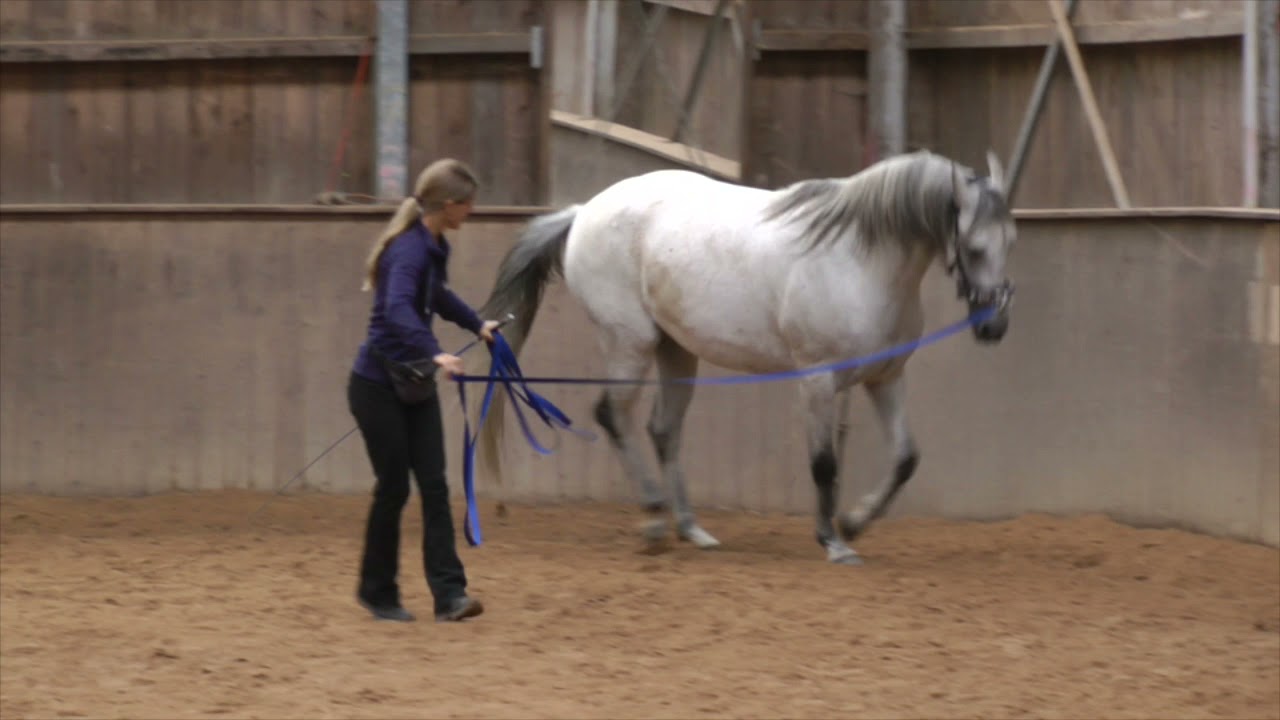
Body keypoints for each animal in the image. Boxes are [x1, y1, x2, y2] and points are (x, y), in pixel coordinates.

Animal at [472, 149, 1016, 565]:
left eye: (1010, 241)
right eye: (973, 246)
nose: (994, 327)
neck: (860, 261)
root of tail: (583, 212)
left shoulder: (886, 378)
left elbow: (905, 458)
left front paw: (854, 522)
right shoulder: (817, 379)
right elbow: (824, 464)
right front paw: (833, 541)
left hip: (676, 352)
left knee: (663, 430)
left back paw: (692, 530)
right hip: (629, 343)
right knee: (612, 415)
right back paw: (654, 520)